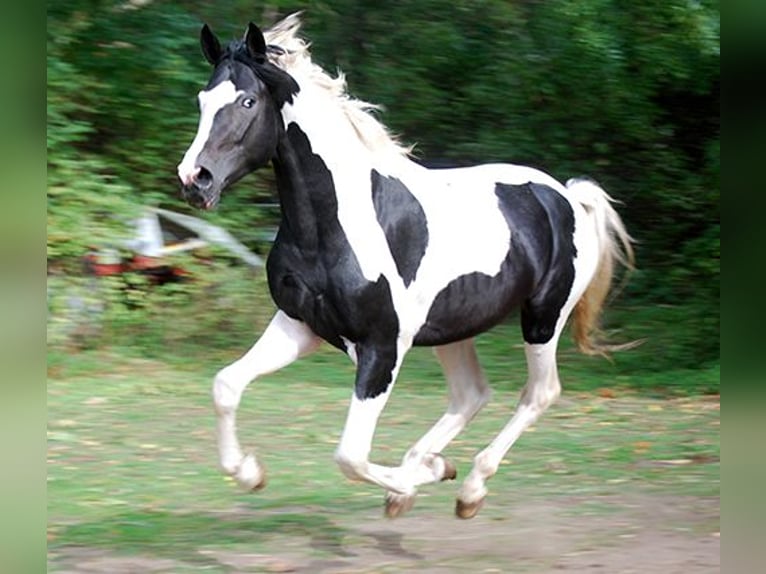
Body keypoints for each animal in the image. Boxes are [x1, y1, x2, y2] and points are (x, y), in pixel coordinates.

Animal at [177, 13, 634, 519]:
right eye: (202, 100)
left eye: (247, 101)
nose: (195, 180)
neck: (334, 225)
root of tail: (567, 196)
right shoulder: (300, 325)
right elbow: (225, 385)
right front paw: (250, 473)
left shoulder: (382, 347)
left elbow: (350, 455)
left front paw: (417, 481)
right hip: (455, 328)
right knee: (471, 394)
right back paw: (429, 468)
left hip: (543, 318)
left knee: (539, 393)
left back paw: (467, 488)